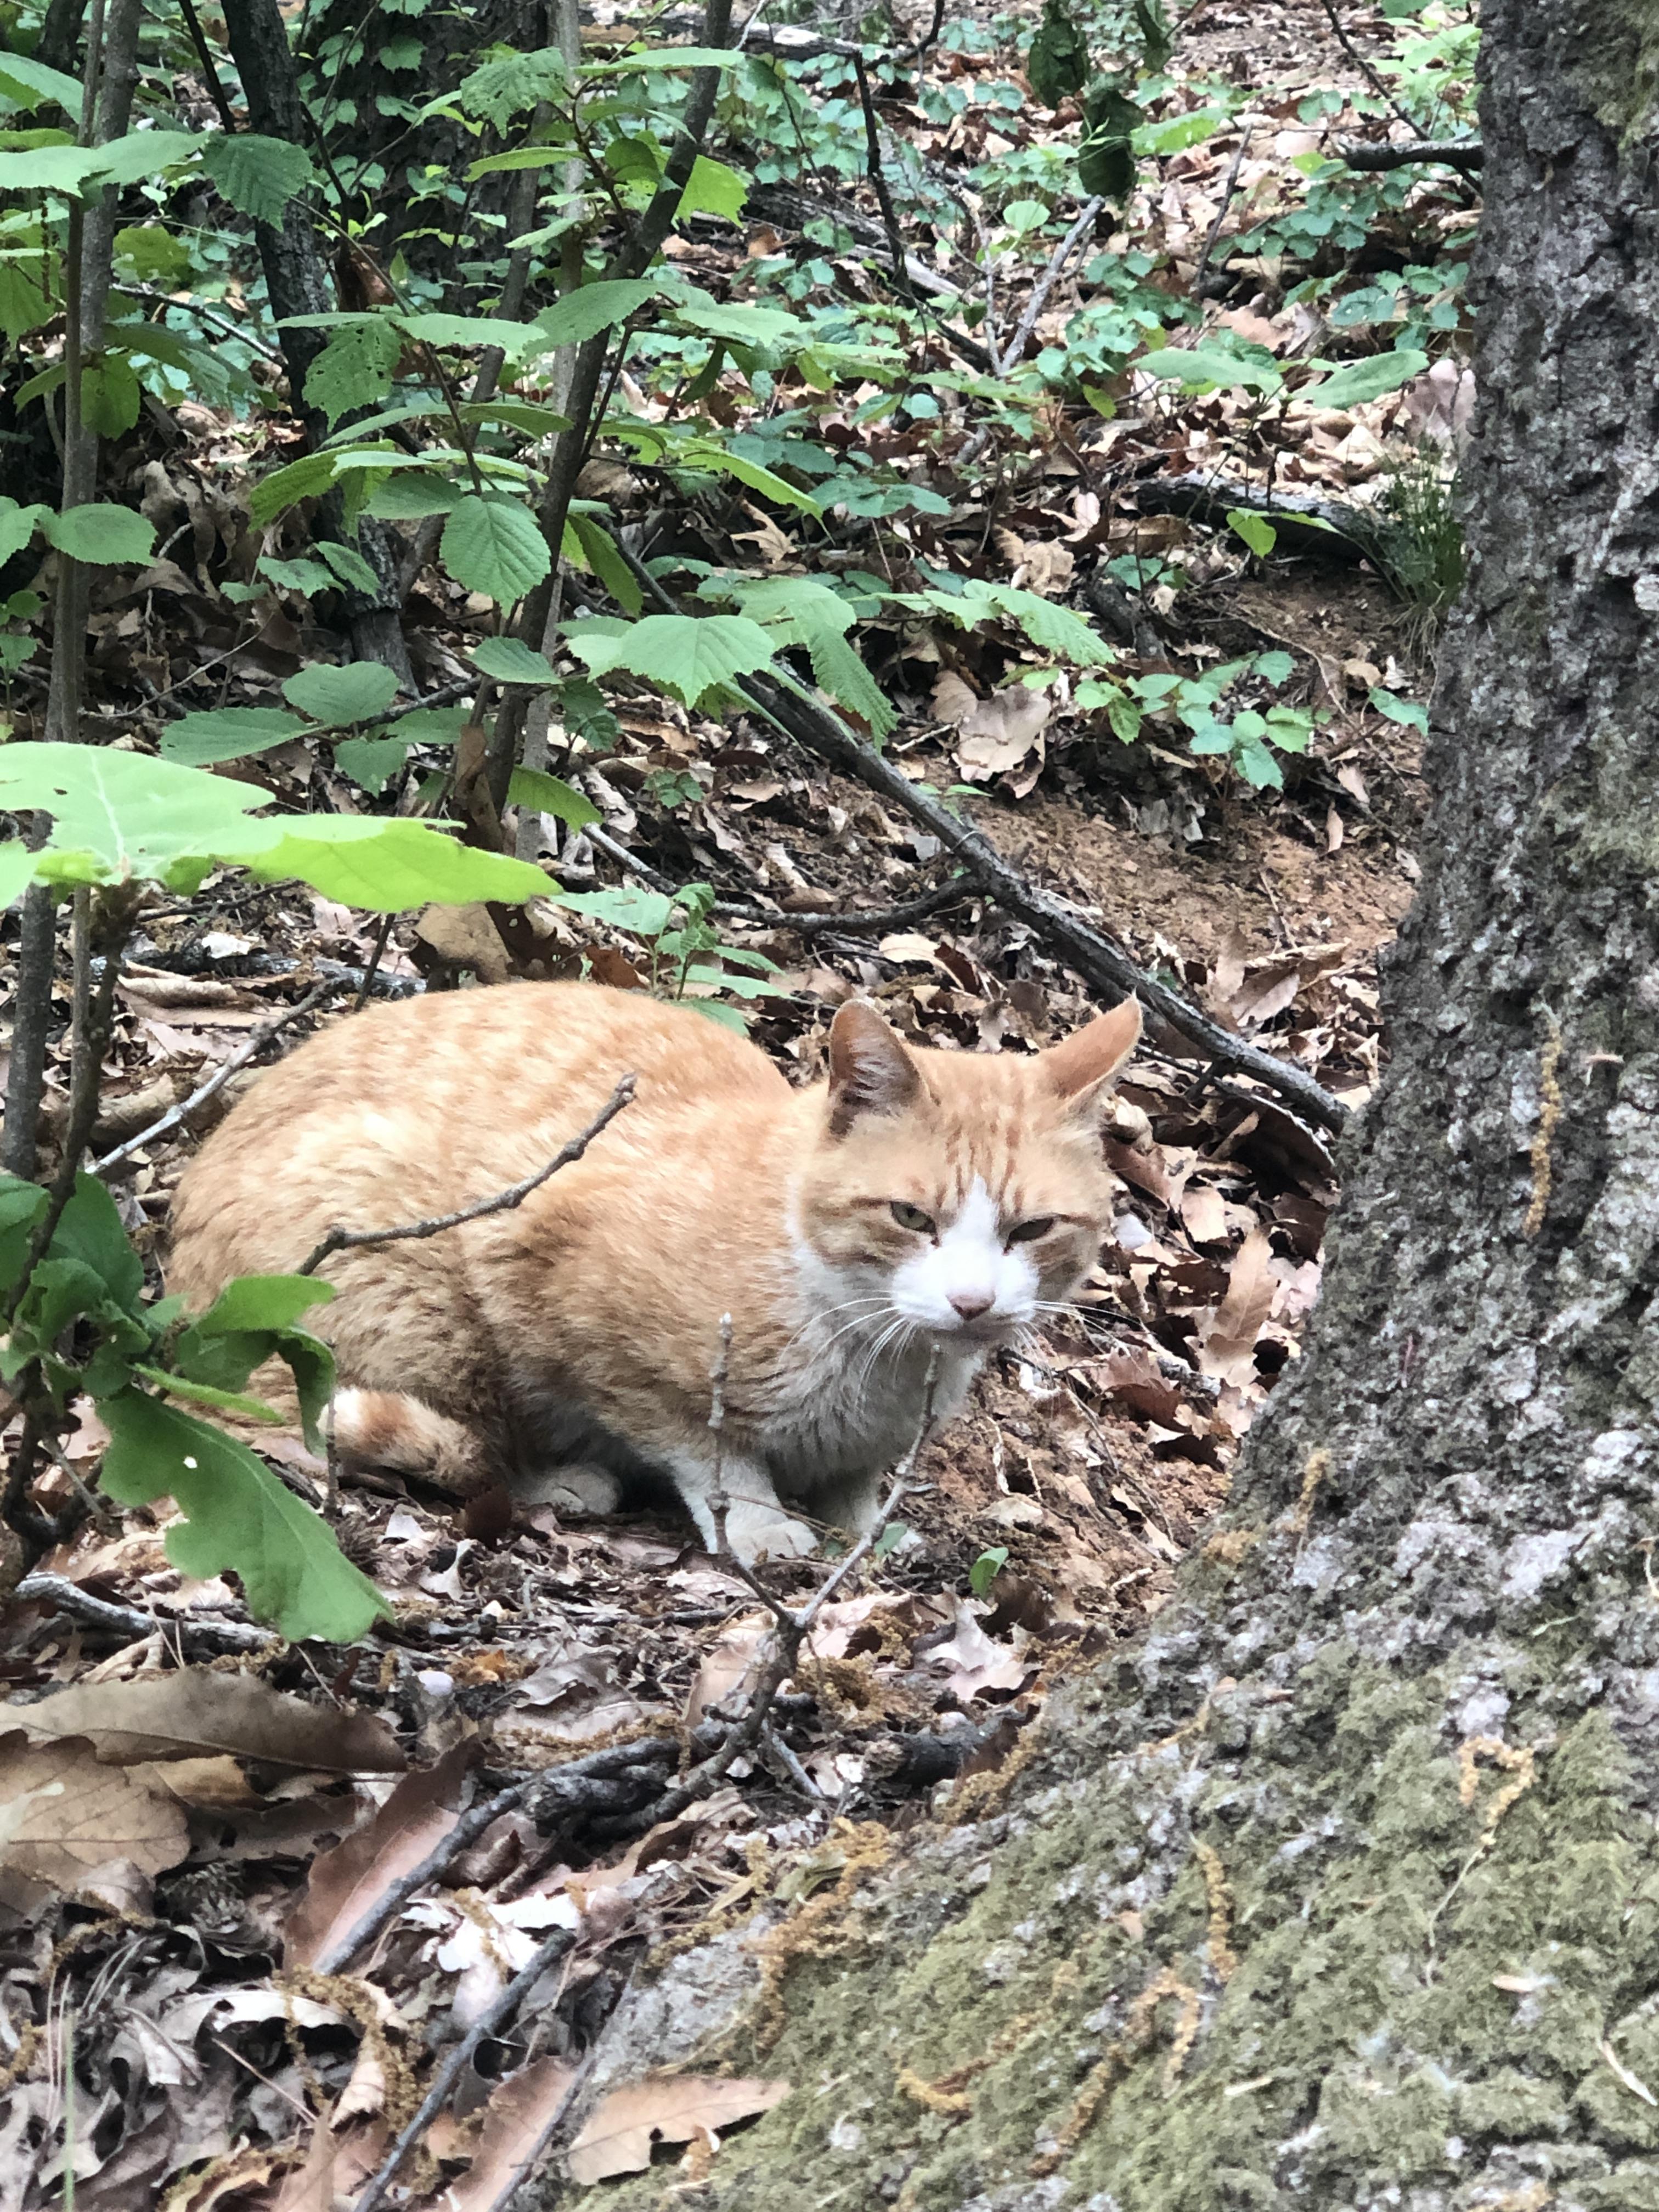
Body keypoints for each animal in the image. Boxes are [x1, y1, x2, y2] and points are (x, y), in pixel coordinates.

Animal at [168, 981, 1141, 1564]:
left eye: (1033, 1229)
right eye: (911, 1218)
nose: (972, 1302)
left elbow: (854, 1484)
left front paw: (862, 1531)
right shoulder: (563, 1281)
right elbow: (706, 1448)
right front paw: (761, 1525)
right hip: (411, 1271)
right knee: (435, 1435)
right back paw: (560, 1478)